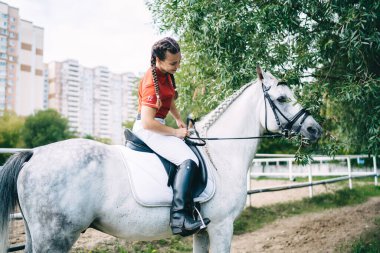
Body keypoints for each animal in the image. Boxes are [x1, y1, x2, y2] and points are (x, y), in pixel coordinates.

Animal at [0, 67, 320, 253]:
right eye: (282, 99)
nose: (315, 129)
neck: (220, 155)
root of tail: (34, 154)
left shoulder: (204, 230)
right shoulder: (222, 226)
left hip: (38, 235)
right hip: (55, 238)